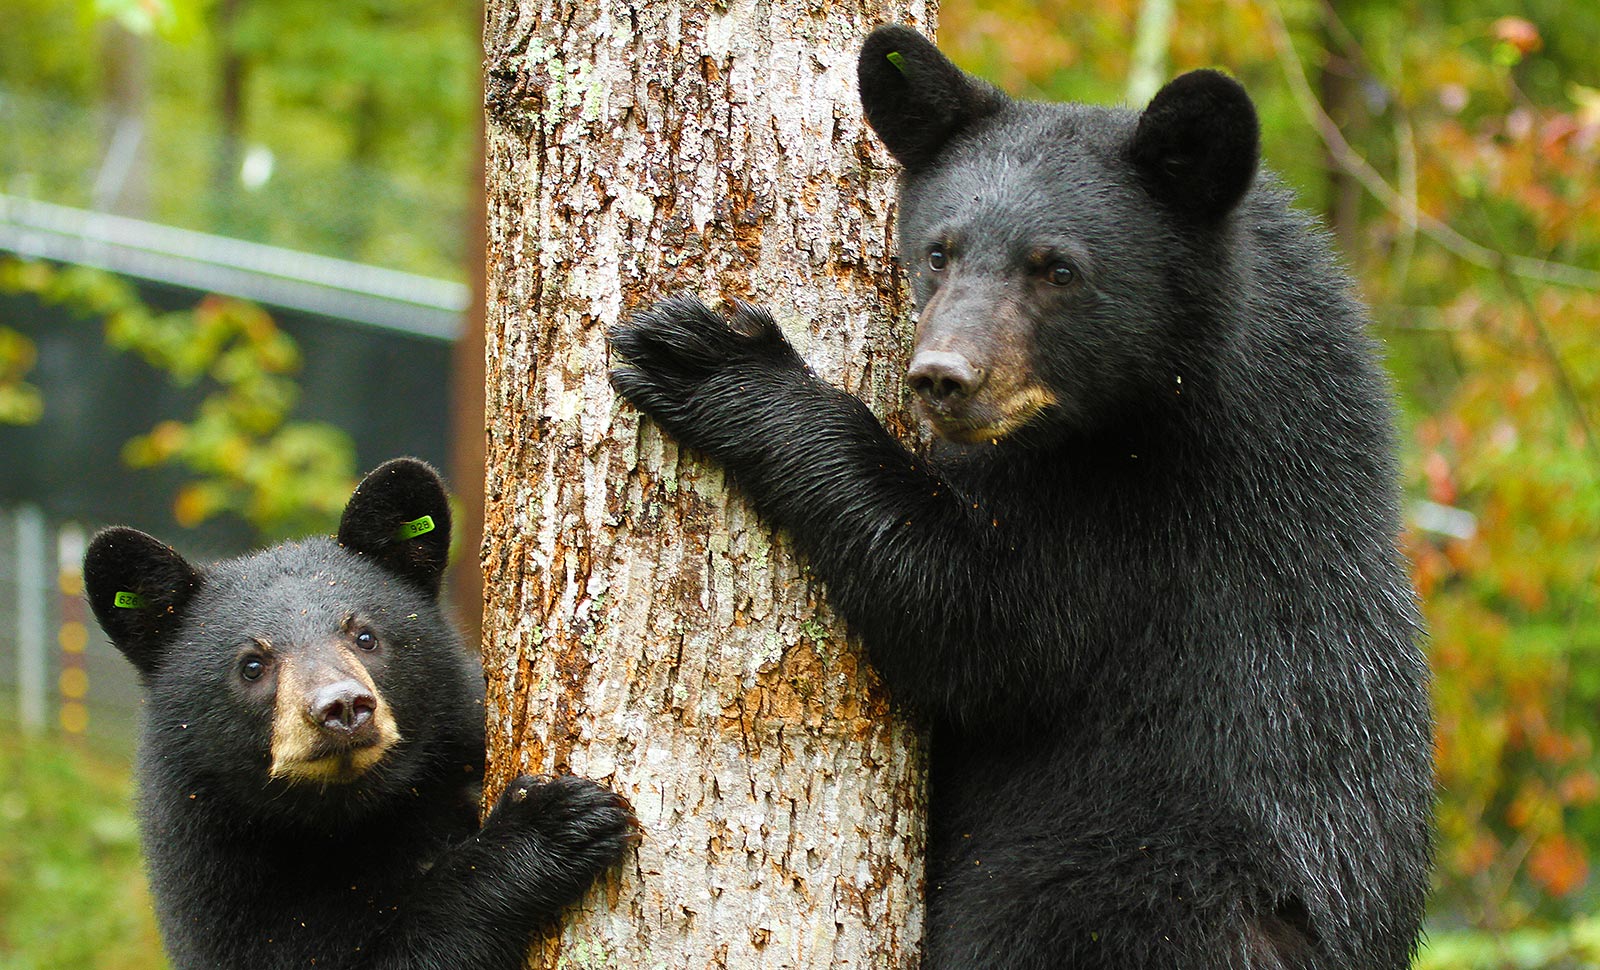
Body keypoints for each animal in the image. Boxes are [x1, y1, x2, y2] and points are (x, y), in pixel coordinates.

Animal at [81, 460, 630, 970]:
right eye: (252, 665)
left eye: (365, 636)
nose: (342, 706)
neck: (352, 817)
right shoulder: (222, 898)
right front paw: (551, 824)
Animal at [611, 20, 1440, 970]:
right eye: (939, 250)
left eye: (1059, 269)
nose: (943, 377)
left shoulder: (1163, 518)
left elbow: (981, 618)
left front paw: (715, 364)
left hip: (1118, 891)